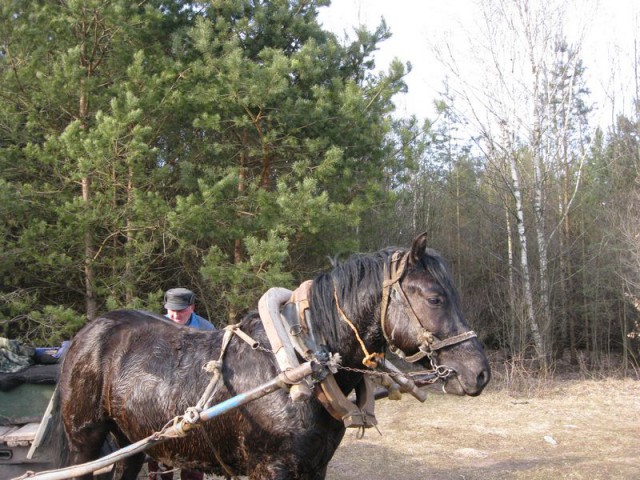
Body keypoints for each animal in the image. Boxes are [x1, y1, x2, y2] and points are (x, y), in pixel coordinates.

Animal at [52, 232, 490, 476]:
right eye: (434, 298)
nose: (480, 373)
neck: (300, 364)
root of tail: (87, 333)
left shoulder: (315, 468)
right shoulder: (271, 468)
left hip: (131, 443)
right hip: (84, 442)